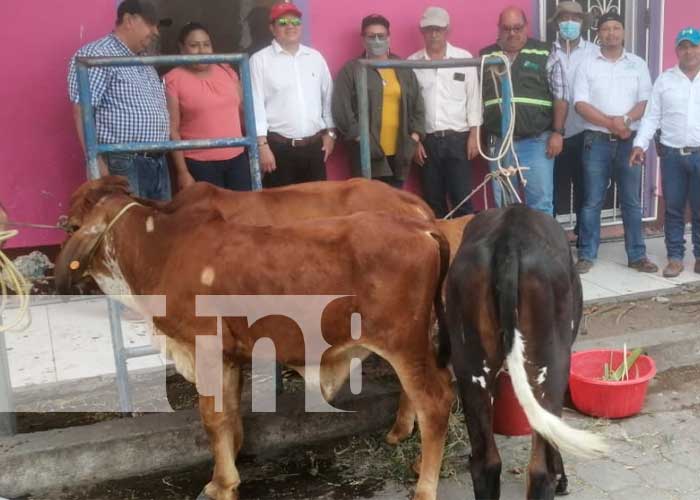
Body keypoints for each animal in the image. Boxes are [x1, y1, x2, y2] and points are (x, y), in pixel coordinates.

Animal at [54, 179, 454, 500]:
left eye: (74, 224)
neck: (162, 248)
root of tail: (422, 227)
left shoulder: (205, 347)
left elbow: (212, 417)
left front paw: (220, 484)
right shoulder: (228, 356)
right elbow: (230, 412)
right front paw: (231, 463)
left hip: (403, 342)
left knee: (435, 401)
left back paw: (424, 486)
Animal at [442, 204, 608, 500]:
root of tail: (508, 237)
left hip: (470, 367)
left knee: (486, 463)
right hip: (550, 366)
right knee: (540, 469)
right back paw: (554, 479)